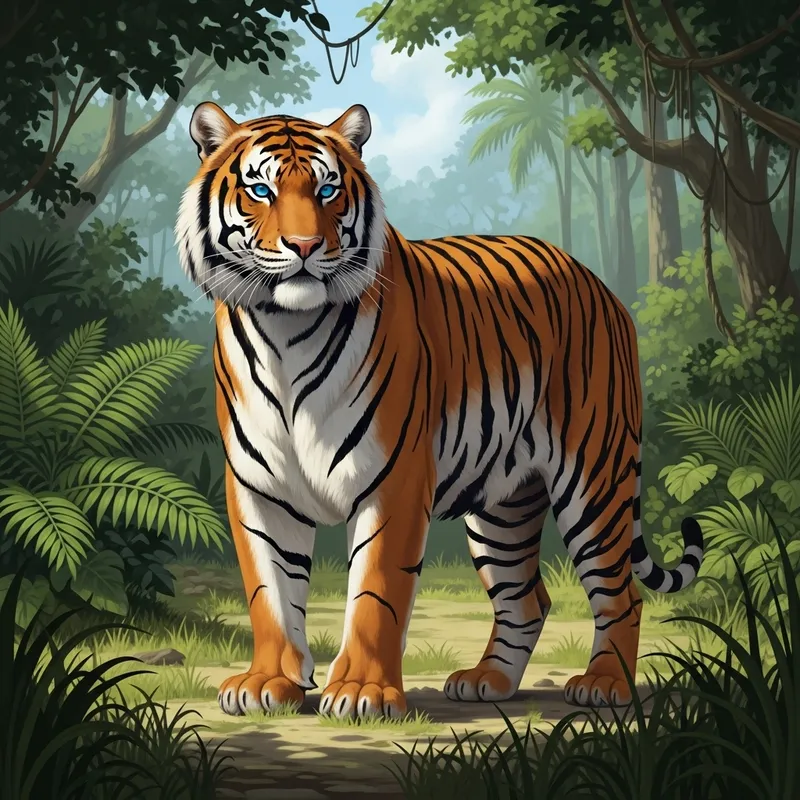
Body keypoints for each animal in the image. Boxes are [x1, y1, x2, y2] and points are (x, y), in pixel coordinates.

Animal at [175, 101, 704, 719]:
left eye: (328, 189)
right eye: (260, 189)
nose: (305, 246)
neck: (287, 331)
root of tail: (600, 284)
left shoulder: (395, 478)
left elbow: (376, 590)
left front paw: (361, 692)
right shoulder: (259, 486)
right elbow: (270, 590)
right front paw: (268, 683)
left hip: (594, 477)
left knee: (622, 594)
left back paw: (606, 685)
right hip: (503, 503)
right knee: (527, 598)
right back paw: (487, 681)